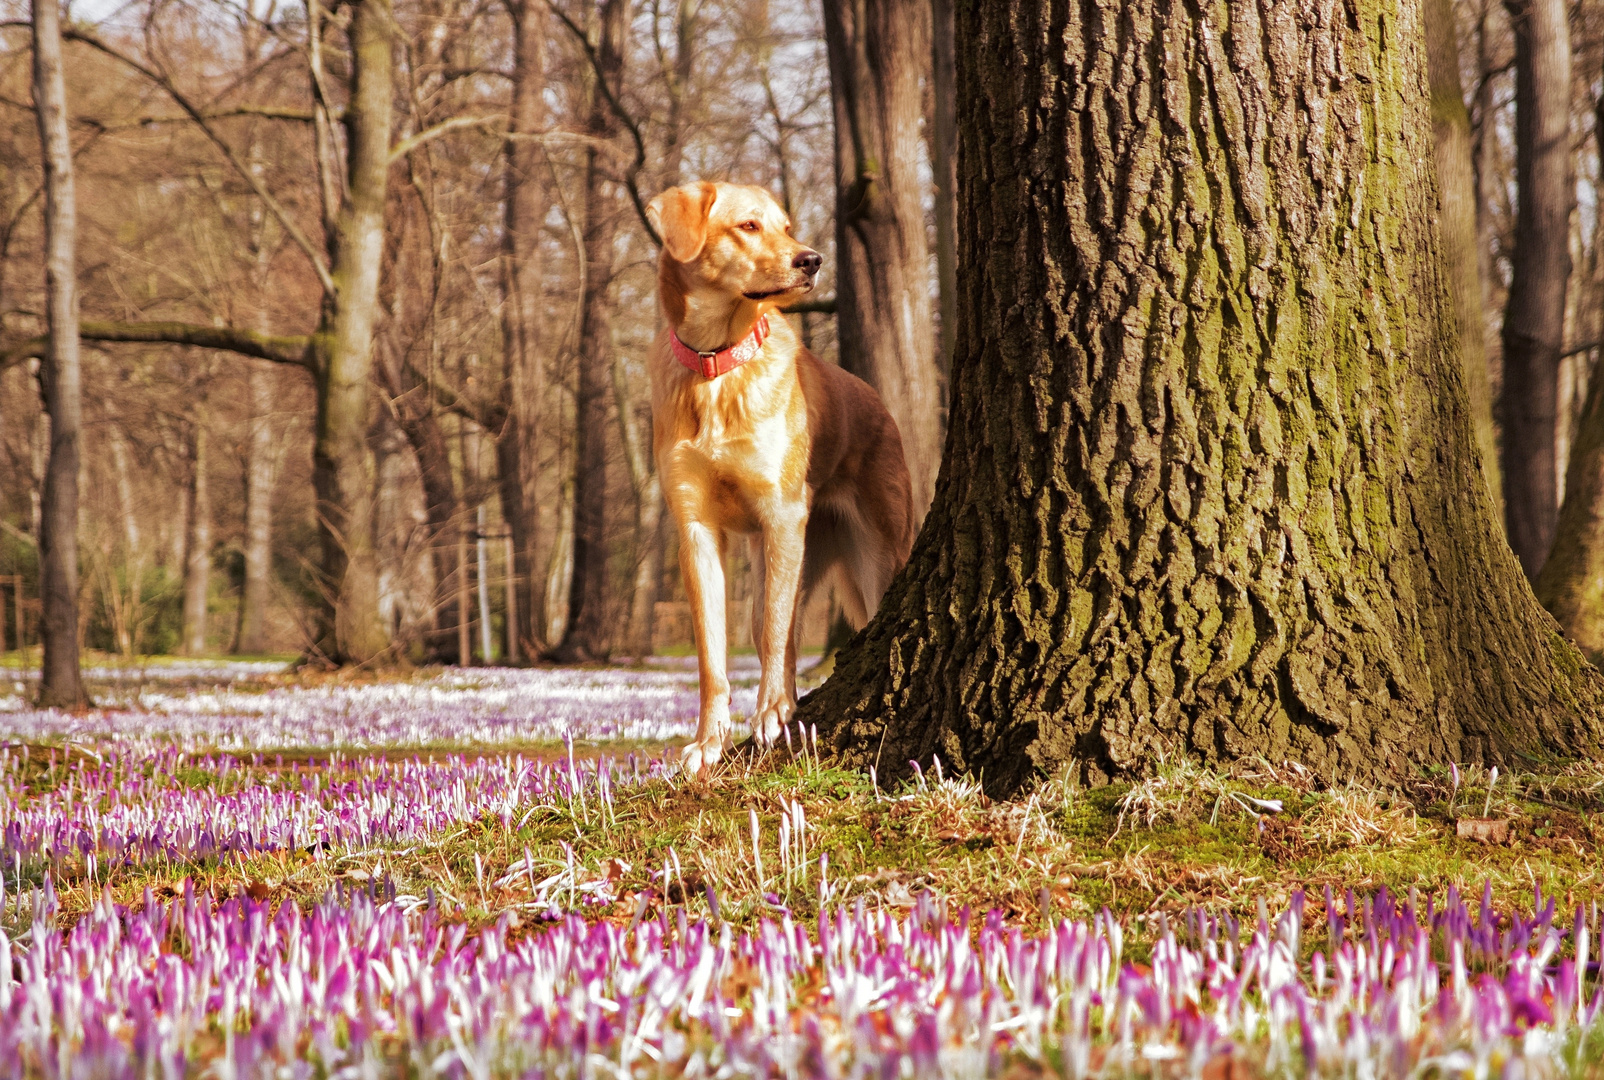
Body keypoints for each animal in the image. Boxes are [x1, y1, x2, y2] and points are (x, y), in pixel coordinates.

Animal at [641, 182, 917, 776]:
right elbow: (713, 658)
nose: (811, 260)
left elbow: (774, 633)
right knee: (775, 630)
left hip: (868, 559)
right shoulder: (696, 531)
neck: (717, 364)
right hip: (776, 564)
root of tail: (879, 402)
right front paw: (709, 741)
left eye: (787, 228)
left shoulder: (781, 514)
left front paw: (770, 714)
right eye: (748, 226)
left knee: (784, 628)